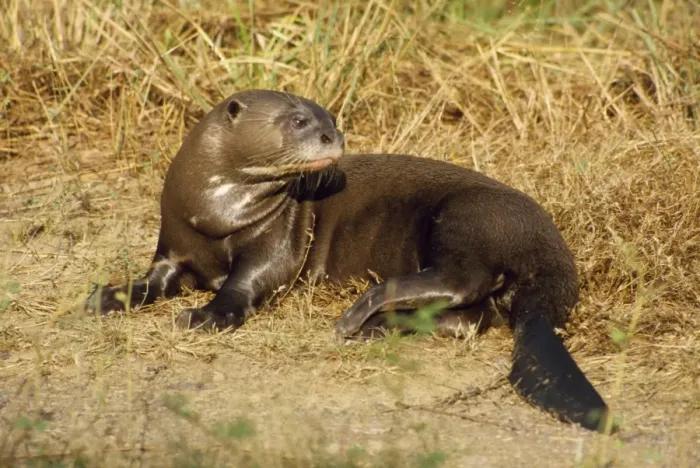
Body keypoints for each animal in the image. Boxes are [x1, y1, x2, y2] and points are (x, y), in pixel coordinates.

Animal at [86, 89, 613, 432]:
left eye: (330, 118)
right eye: (299, 120)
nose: (332, 136)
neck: (214, 209)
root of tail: (551, 251)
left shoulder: (275, 242)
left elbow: (247, 282)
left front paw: (203, 315)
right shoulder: (173, 244)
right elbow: (151, 280)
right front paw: (106, 296)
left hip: (467, 217)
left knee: (464, 280)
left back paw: (358, 314)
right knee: (470, 316)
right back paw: (377, 327)